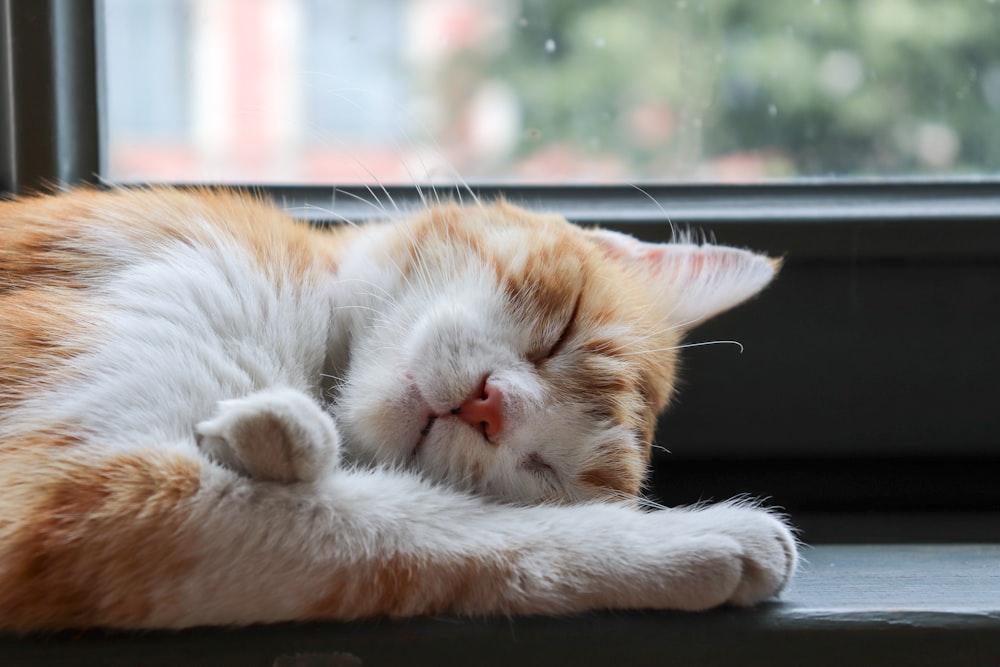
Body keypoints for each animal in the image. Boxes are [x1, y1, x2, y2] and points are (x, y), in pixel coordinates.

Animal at [0, 188, 796, 632]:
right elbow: (414, 527)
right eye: (562, 328)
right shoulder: (71, 497)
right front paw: (691, 541)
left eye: (543, 469)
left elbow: (445, 526)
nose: (490, 407)